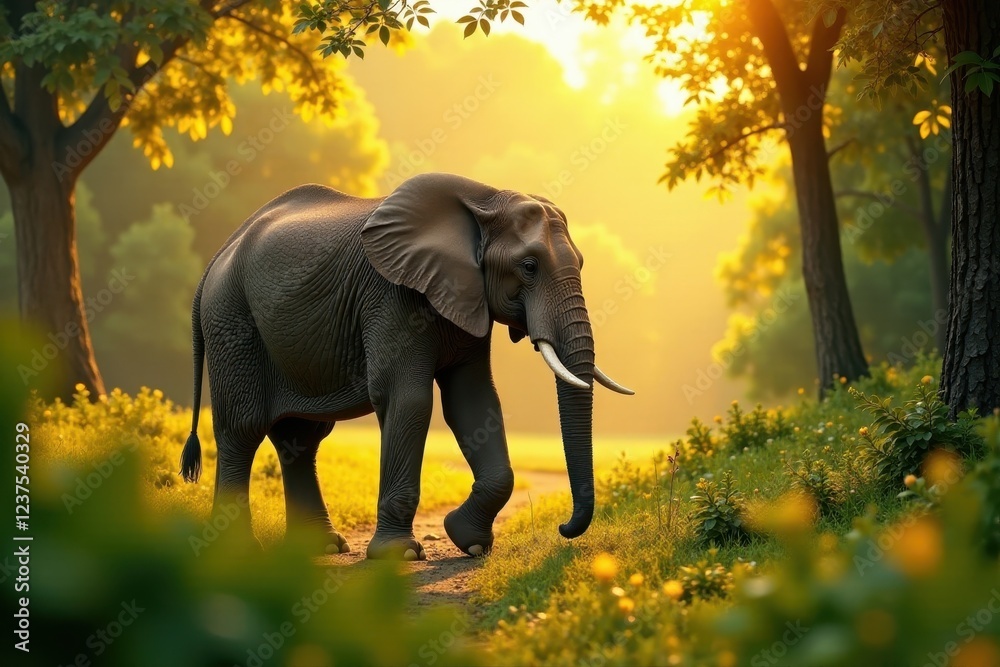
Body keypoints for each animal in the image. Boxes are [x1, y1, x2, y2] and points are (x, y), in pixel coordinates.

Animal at [179, 172, 633, 560]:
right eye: (529, 266)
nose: (562, 527)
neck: (485, 199)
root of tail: (218, 257)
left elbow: (474, 402)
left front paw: (469, 543)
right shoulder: (392, 297)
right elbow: (408, 400)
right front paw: (401, 555)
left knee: (300, 438)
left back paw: (321, 548)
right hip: (232, 322)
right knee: (242, 429)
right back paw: (239, 552)